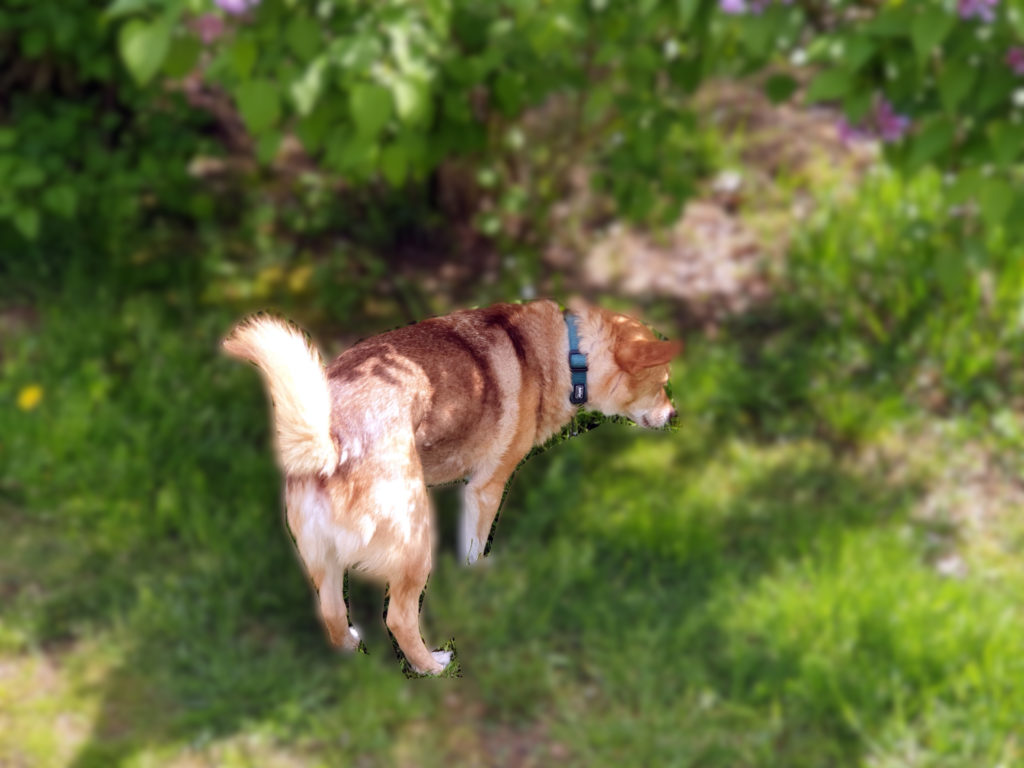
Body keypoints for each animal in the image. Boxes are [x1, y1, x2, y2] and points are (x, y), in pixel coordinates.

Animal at [228, 299, 684, 671]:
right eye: (663, 383)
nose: (674, 415)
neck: (569, 352)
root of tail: (331, 442)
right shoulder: (487, 486)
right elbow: (475, 547)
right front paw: (479, 576)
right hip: (415, 543)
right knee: (398, 618)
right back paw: (431, 666)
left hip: (324, 560)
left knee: (331, 612)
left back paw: (347, 650)